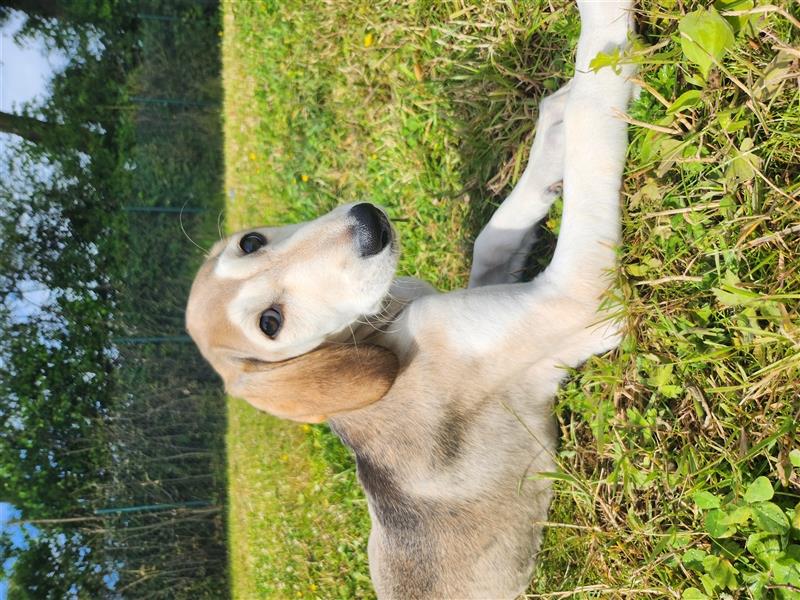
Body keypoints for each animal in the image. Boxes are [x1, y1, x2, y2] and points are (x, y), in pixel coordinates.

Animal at [184, 2, 636, 596]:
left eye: (251, 241)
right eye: (270, 323)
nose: (369, 224)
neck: (380, 329)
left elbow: (495, 233)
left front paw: (553, 125)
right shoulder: (573, 298)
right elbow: (591, 118)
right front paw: (604, 34)